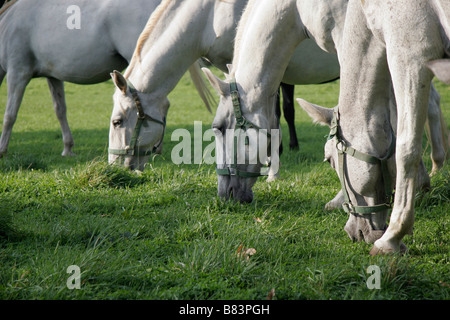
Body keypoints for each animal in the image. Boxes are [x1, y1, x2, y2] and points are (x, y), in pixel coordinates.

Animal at [0, 0, 209, 156]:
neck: (8, 22)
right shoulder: (53, 77)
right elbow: (60, 110)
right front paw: (68, 148)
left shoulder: (18, 72)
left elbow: (10, 114)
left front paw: (2, 149)